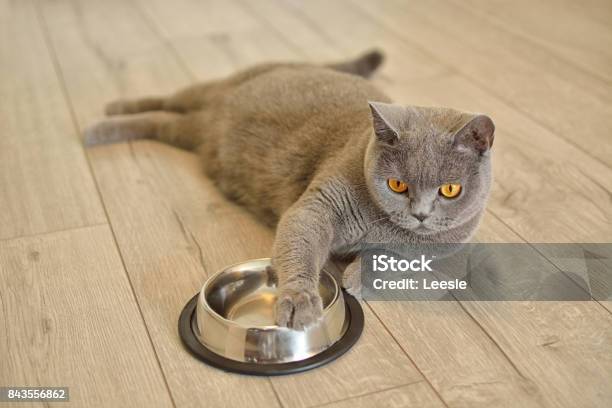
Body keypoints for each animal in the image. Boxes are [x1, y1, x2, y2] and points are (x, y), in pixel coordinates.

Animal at [83, 51, 494, 330]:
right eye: (397, 184)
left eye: (450, 190)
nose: (420, 214)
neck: (379, 226)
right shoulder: (318, 206)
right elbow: (301, 246)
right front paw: (300, 302)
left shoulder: (451, 259)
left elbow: (405, 264)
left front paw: (357, 277)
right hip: (214, 89)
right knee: (165, 100)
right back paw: (104, 119)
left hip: (191, 132)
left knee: (160, 121)